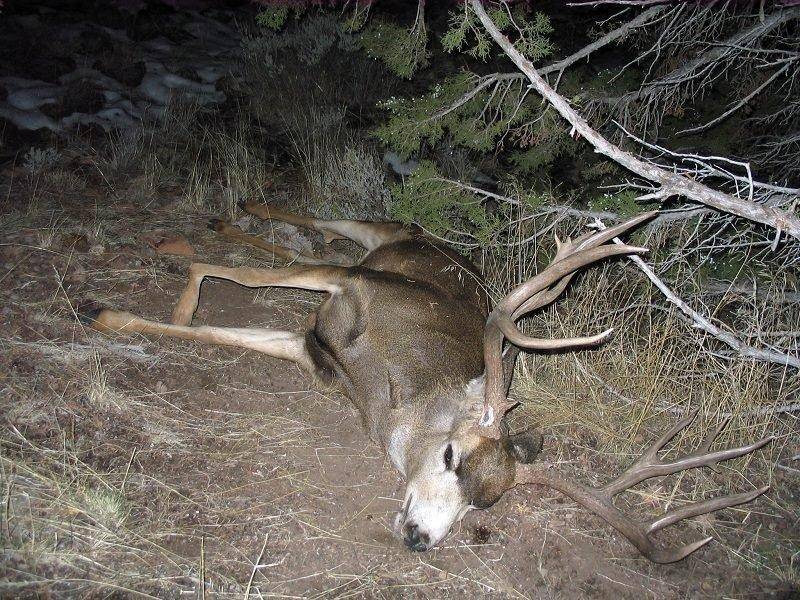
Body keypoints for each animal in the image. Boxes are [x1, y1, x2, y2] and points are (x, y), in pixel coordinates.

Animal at [81, 203, 768, 564]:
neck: (386, 388)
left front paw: (127, 314)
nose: (419, 537)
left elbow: (218, 332)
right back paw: (228, 222)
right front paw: (130, 303)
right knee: (328, 225)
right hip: (375, 249)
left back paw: (236, 222)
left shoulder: (310, 351)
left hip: (373, 249)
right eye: (449, 455)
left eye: (483, 505)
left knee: (326, 226)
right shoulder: (355, 285)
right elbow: (244, 278)